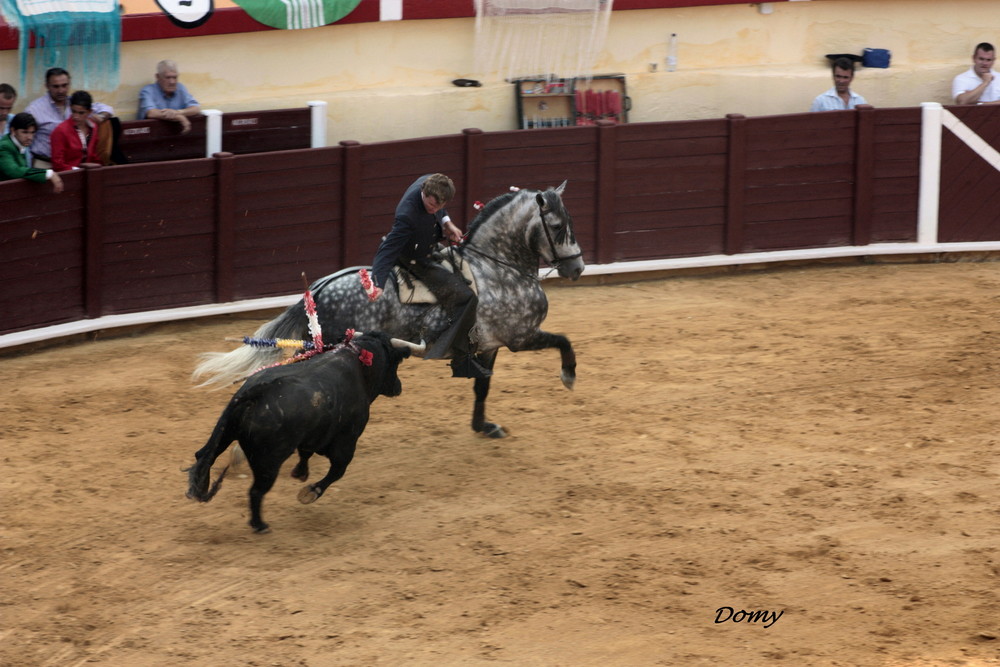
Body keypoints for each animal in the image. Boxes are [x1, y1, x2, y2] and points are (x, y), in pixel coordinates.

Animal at [187, 332, 418, 536]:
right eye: (395, 363)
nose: (398, 387)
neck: (359, 365)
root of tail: (255, 393)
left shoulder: (313, 435)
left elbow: (306, 453)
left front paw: (300, 473)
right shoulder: (347, 441)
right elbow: (337, 471)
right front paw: (310, 492)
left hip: (224, 434)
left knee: (204, 455)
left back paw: (198, 486)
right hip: (268, 463)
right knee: (256, 491)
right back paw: (260, 525)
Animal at [193, 181, 584, 438]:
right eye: (557, 226)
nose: (578, 267)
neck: (497, 267)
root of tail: (317, 291)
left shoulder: (490, 344)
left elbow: (482, 386)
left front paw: (483, 426)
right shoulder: (521, 336)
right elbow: (563, 340)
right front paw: (568, 376)